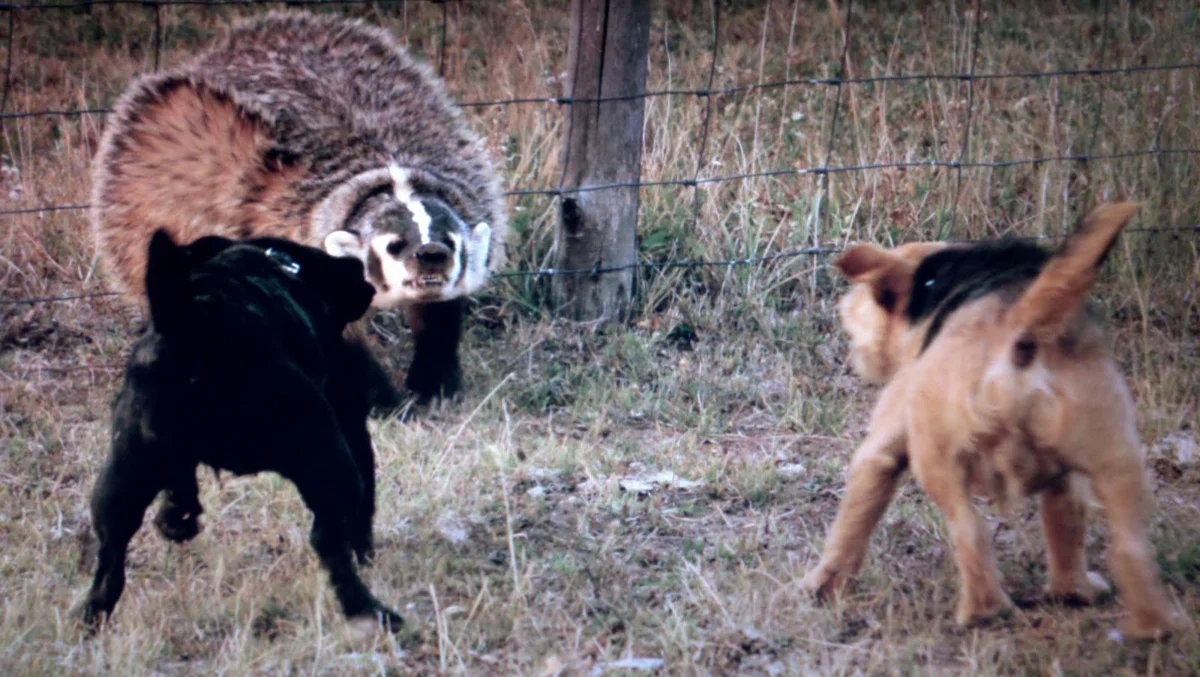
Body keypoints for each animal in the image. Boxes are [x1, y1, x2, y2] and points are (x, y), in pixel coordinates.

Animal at [81, 230, 408, 633]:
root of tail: (186, 327)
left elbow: (180, 482)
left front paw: (176, 517)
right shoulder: (348, 422)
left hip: (123, 474)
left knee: (110, 552)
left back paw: (94, 616)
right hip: (327, 455)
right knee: (329, 540)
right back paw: (370, 610)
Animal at [801, 202, 1176, 638]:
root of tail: (1021, 325)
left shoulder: (885, 441)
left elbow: (853, 516)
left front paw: (821, 585)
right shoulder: (1066, 475)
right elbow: (1065, 520)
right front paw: (1071, 589)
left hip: (937, 457)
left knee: (970, 530)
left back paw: (982, 611)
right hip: (1117, 452)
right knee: (1130, 545)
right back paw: (1142, 621)